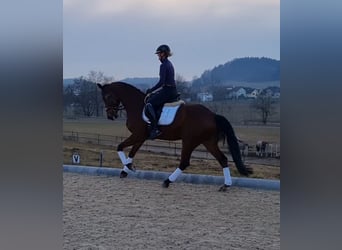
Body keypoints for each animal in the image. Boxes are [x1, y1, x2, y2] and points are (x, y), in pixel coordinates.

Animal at [97, 82, 252, 191]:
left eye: (107, 96)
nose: (111, 115)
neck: (137, 105)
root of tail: (212, 115)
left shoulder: (137, 135)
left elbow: (120, 147)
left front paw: (129, 167)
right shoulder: (141, 137)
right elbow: (131, 152)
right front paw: (126, 169)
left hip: (189, 141)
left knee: (184, 162)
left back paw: (167, 181)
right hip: (208, 142)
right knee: (223, 159)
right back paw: (226, 185)